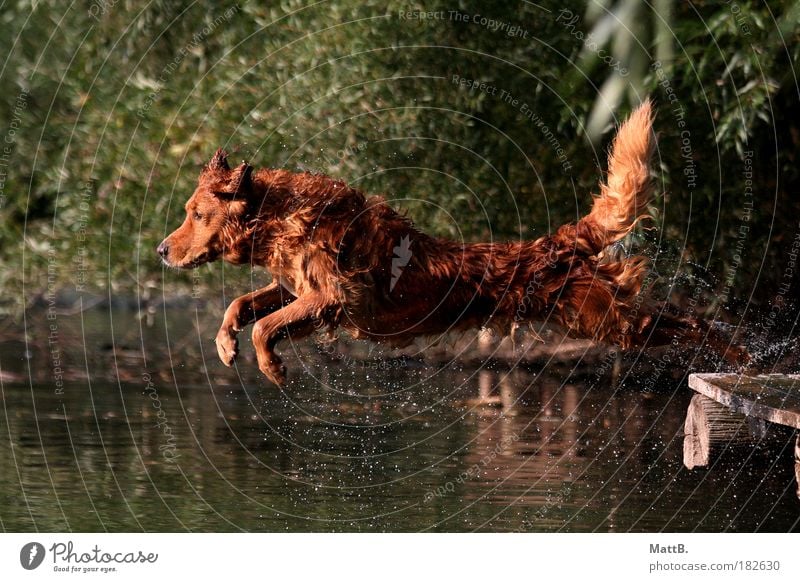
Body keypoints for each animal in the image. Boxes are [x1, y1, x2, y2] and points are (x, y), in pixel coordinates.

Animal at [159, 102, 748, 388]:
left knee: (693, 321)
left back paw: (741, 354)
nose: (162, 250)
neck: (285, 219)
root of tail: (556, 241)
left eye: (195, 214)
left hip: (610, 321)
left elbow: (266, 326)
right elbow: (244, 304)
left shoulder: (335, 299)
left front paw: (272, 368)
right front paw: (225, 344)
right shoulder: (299, 288)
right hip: (603, 317)